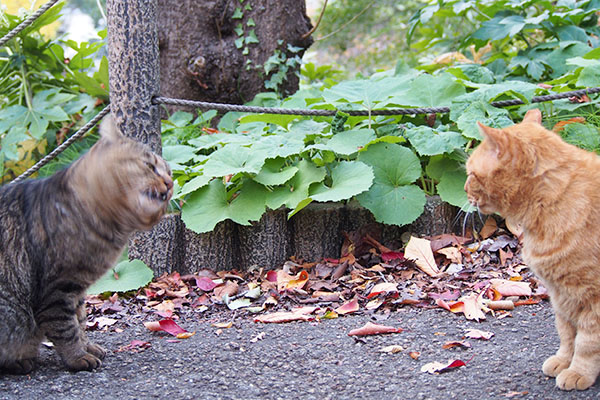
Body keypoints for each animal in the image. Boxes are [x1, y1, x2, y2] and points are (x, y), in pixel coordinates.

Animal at [0, 117, 172, 374]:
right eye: (150, 166)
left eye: (169, 172)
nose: (170, 183)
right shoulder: (57, 289)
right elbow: (66, 328)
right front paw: (78, 357)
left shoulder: (77, 289)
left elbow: (80, 320)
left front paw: (87, 347)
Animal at [466, 107, 600, 390]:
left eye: (470, 174)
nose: (464, 188)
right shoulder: (562, 295)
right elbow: (567, 333)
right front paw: (563, 361)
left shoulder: (593, 297)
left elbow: (587, 341)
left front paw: (578, 371)